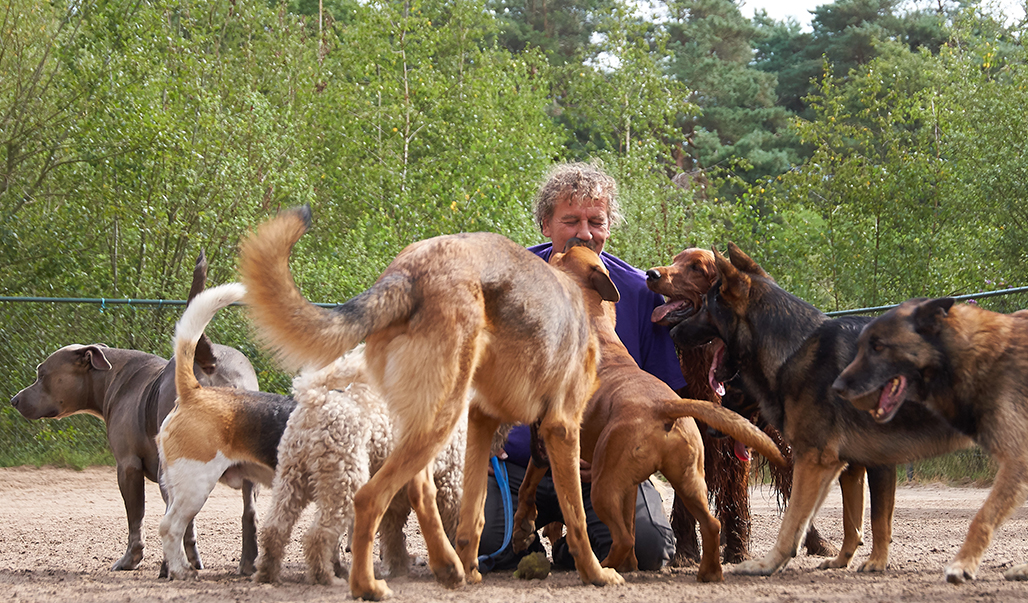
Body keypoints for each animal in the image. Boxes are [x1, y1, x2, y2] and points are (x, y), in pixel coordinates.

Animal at [238, 206, 625, 599]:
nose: (583, 236)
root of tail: (407, 275)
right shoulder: (562, 427)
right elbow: (576, 516)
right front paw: (595, 573)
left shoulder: (482, 422)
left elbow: (473, 517)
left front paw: (471, 568)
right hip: (440, 417)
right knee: (369, 499)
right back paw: (368, 585)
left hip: (428, 424)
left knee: (417, 490)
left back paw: (449, 568)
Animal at [509, 241, 781, 583]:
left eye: (566, 254)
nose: (572, 242)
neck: (594, 317)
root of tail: (666, 406)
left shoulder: (546, 435)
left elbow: (529, 482)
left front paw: (523, 525)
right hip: (687, 481)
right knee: (708, 524)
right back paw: (705, 571)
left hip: (603, 488)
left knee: (624, 537)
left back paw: (603, 569)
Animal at [666, 244, 970, 575]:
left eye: (705, 308)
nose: (674, 333)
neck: (795, 346)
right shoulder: (849, 467)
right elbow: (851, 521)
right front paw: (842, 560)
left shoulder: (836, 462)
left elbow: (859, 521)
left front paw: (874, 562)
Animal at [830, 297, 1028, 583]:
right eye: (859, 347)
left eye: (878, 347)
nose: (837, 387)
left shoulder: (1017, 460)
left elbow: (982, 518)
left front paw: (963, 564)